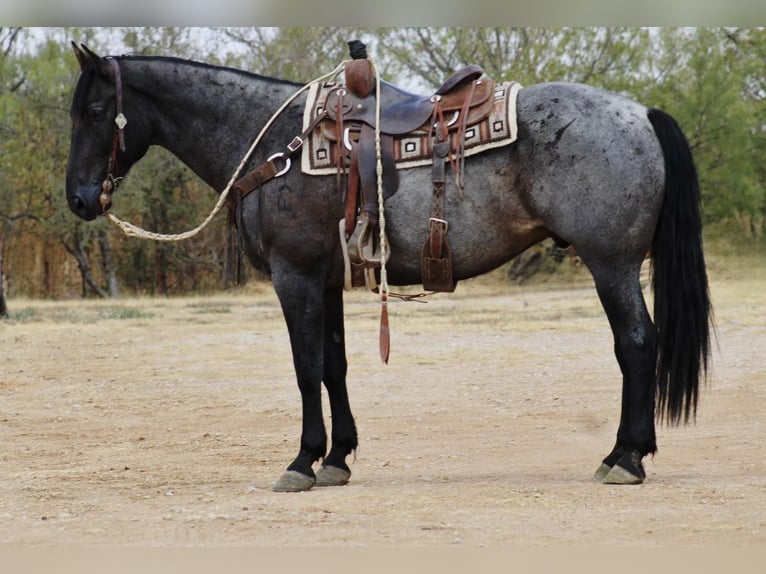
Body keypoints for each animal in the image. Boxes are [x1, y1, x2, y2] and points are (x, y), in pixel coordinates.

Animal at [66, 44, 712, 496]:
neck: (277, 146)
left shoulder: (294, 276)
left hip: (612, 264)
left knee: (636, 344)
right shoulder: (325, 281)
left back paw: (625, 458)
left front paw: (302, 461)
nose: (78, 198)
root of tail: (640, 113)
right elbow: (334, 366)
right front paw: (336, 459)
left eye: (96, 110)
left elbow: (305, 368)